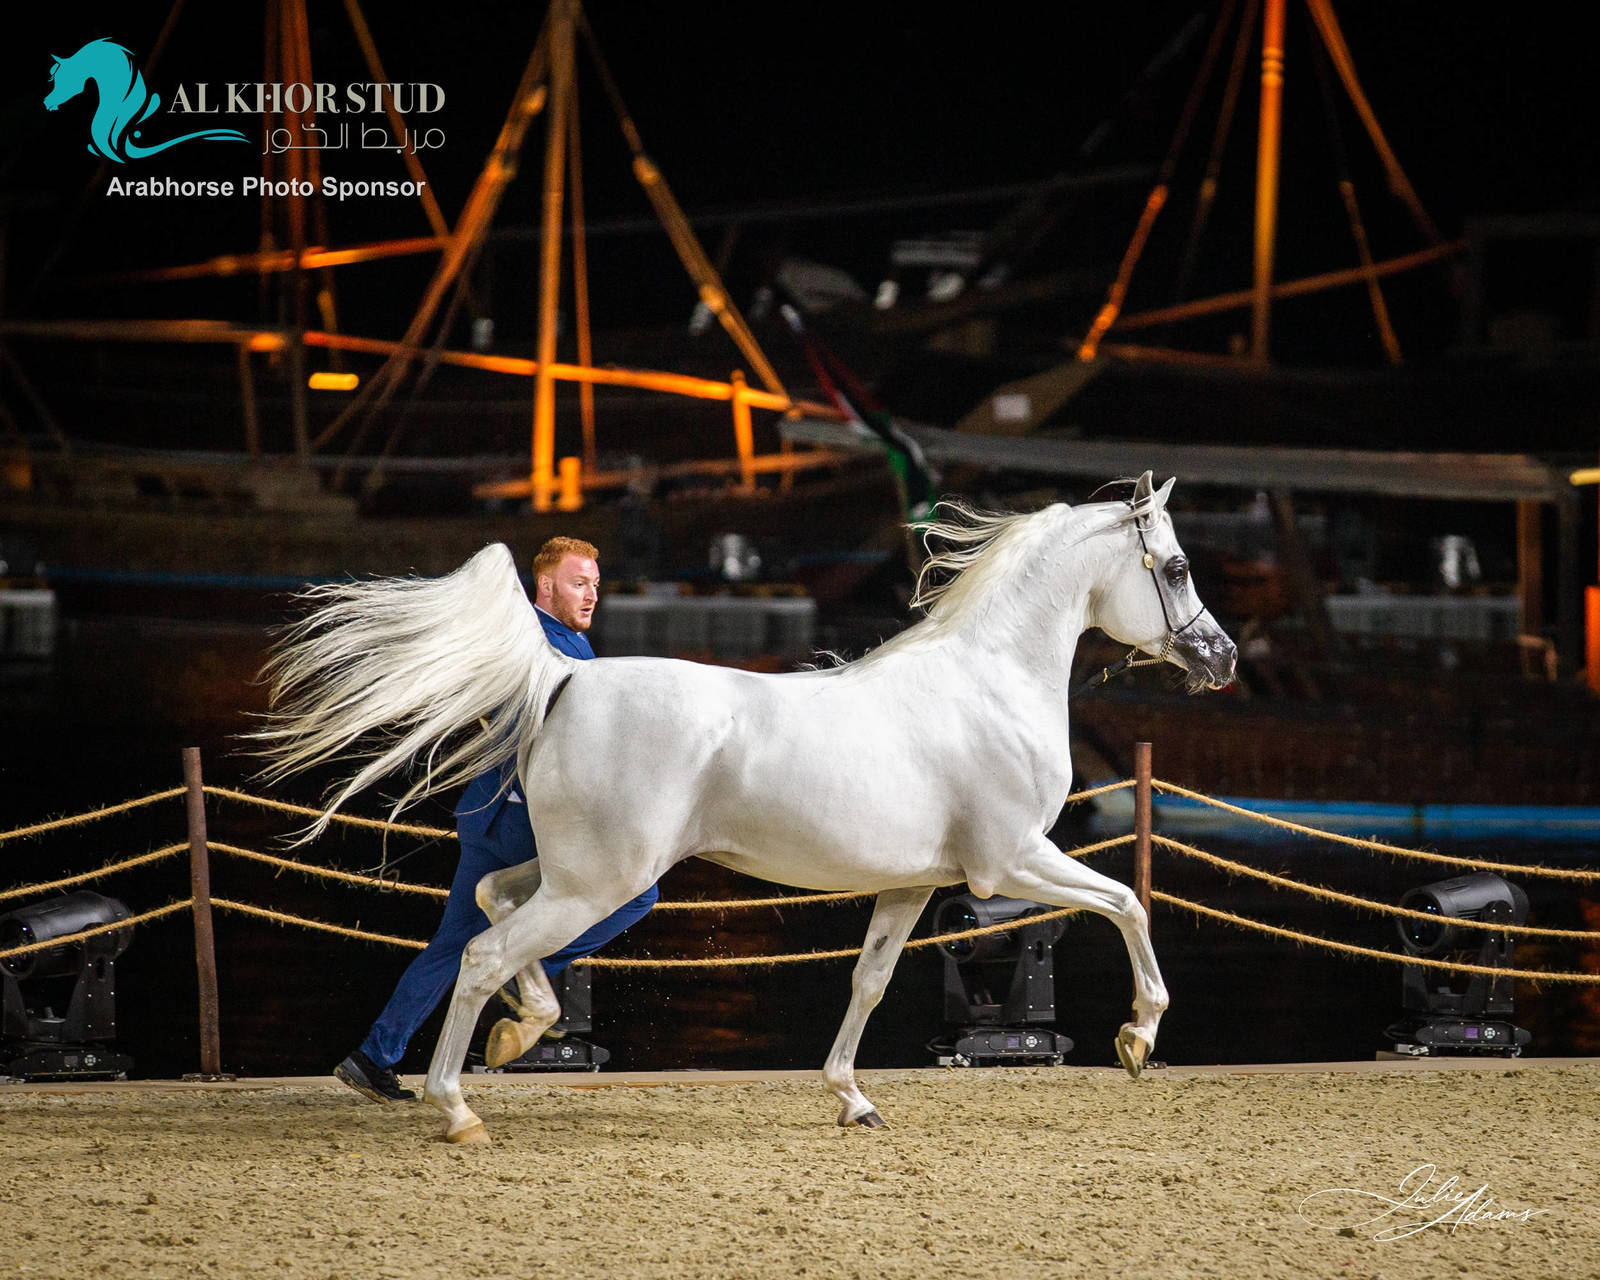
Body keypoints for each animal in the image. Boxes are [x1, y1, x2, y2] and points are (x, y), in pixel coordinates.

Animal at [256, 471, 1237, 1143]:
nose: (1222, 658)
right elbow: (1128, 903)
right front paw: (1138, 1037)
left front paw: (852, 1099)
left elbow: (869, 982)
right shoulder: (1013, 861)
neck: (988, 682)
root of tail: (563, 674)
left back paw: (514, 1033)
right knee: (485, 950)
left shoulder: (913, 885)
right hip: (602, 884)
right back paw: (457, 1107)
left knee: (492, 902)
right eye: (1178, 566)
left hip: (581, 875)